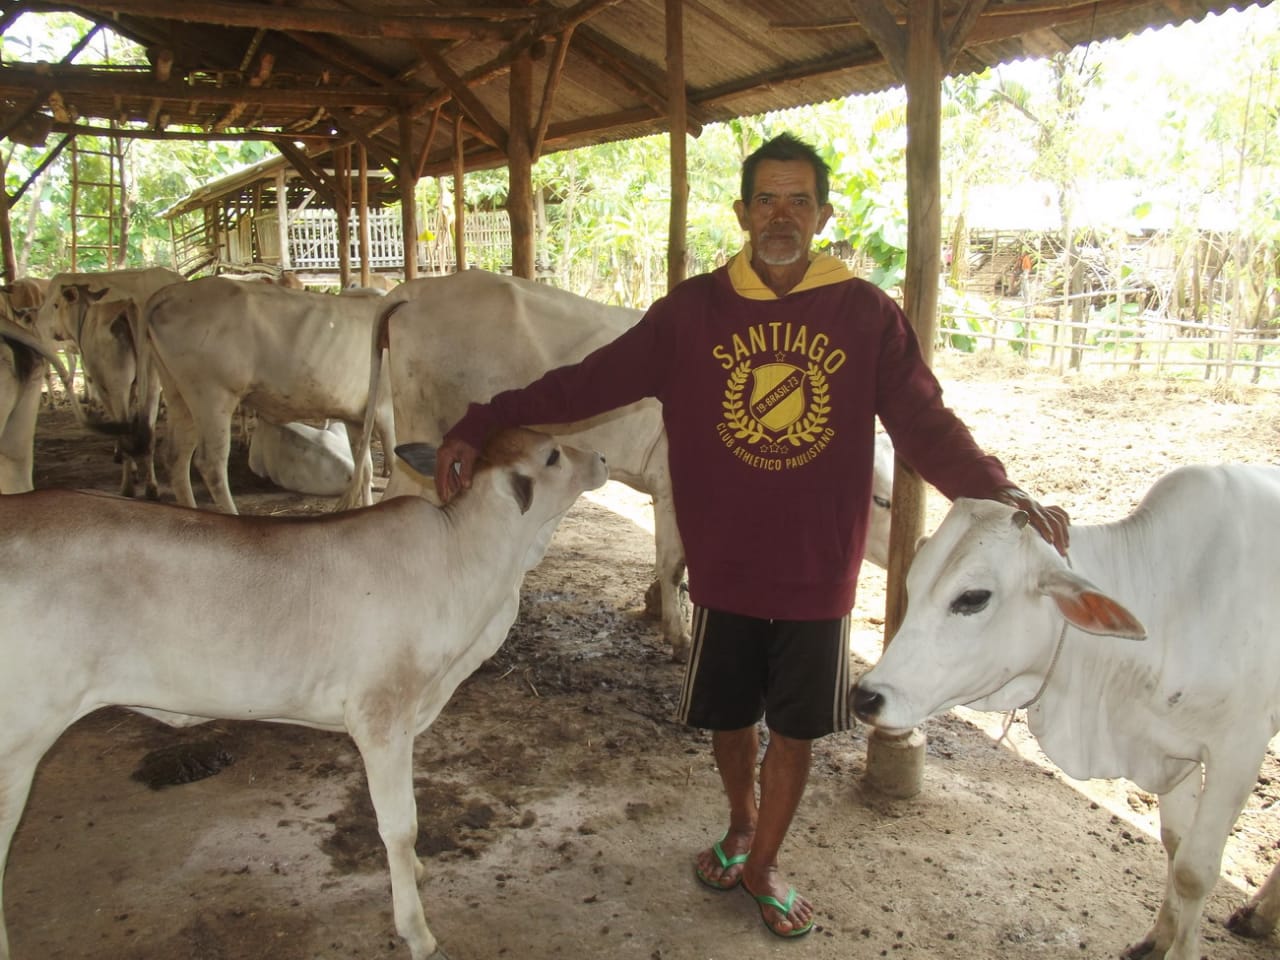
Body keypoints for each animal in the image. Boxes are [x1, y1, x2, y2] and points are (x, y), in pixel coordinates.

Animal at [0, 427, 606, 960]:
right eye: (553, 454)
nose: (601, 458)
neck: (469, 567)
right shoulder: (380, 715)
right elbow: (400, 825)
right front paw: (416, 930)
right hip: (17, 746)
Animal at [345, 268, 896, 660]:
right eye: (882, 499)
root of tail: (417, 289)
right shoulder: (674, 485)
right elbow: (675, 562)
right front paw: (678, 635)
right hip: (423, 437)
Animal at [849, 463, 1280, 957]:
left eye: (973, 598)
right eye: (913, 585)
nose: (866, 696)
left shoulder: (1237, 750)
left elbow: (1194, 869)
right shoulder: (1170, 749)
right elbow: (1174, 843)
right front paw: (1159, 936)